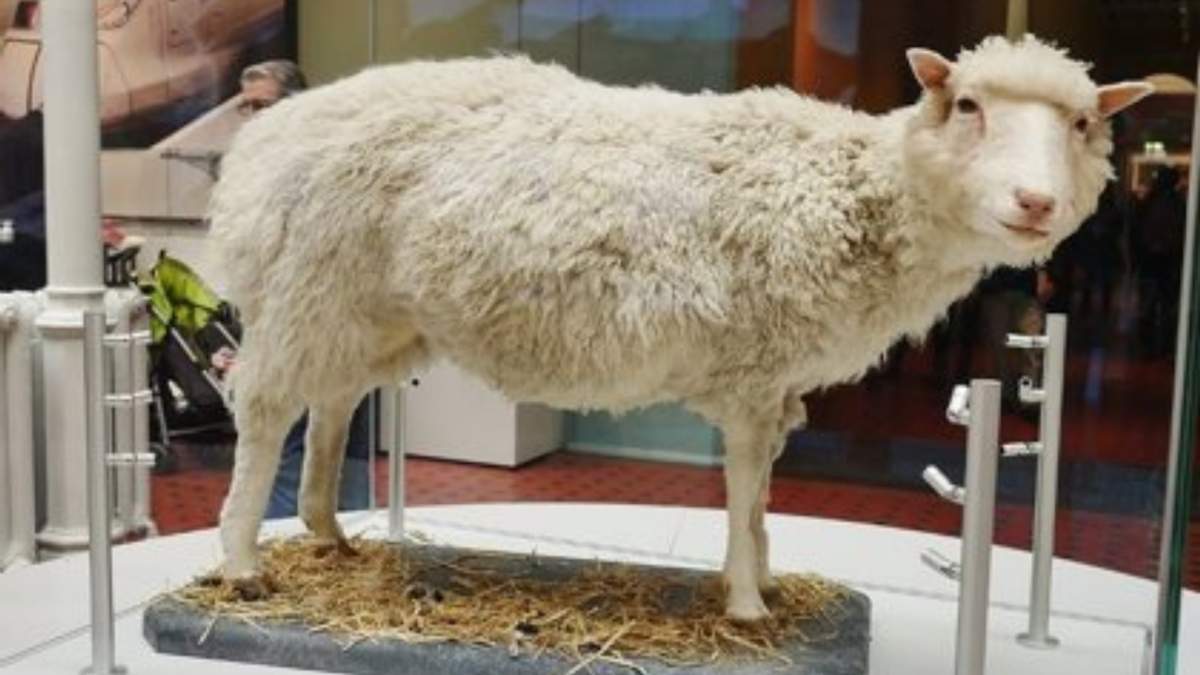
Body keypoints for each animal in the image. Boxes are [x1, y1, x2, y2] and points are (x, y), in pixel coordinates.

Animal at [209, 34, 1153, 621]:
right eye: (967, 106)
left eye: (1083, 123)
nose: (1035, 203)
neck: (853, 191)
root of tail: (258, 149)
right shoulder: (753, 372)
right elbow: (740, 488)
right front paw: (746, 602)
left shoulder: (776, 381)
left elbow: (764, 492)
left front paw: (764, 576)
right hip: (308, 289)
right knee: (264, 411)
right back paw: (242, 562)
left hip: (363, 312)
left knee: (331, 406)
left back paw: (328, 533)